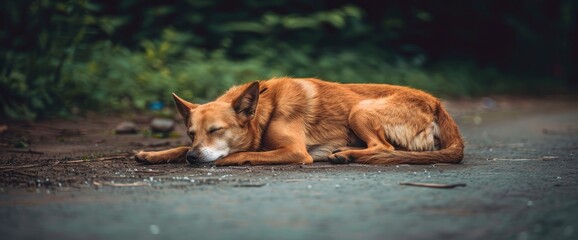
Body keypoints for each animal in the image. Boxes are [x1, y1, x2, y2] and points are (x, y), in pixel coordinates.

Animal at [133, 78, 462, 166]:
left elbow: (243, 154)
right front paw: (153, 154)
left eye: (216, 131)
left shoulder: (294, 151)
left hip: (360, 110)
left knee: (386, 148)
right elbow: (176, 149)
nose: (192, 157)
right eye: (191, 134)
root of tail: (436, 103)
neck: (266, 111)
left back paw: (345, 154)